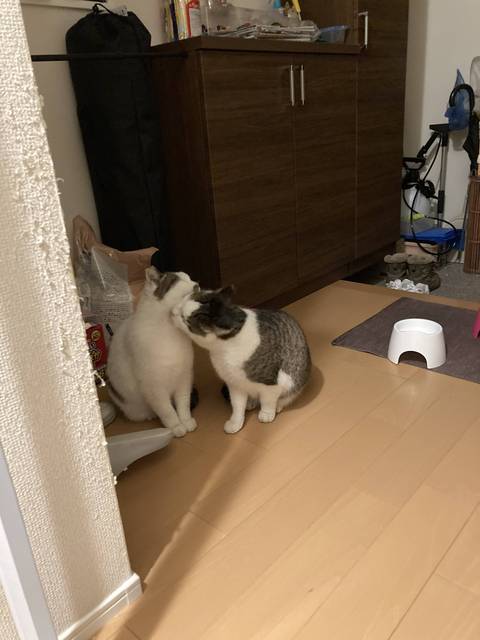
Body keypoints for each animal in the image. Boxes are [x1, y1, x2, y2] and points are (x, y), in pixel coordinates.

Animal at [107, 267, 198, 437]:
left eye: (189, 277)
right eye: (176, 281)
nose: (196, 284)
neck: (170, 330)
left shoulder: (184, 377)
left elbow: (183, 404)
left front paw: (186, 421)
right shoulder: (154, 387)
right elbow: (167, 411)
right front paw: (176, 427)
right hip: (135, 407)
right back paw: (152, 415)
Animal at [173, 286, 311, 434]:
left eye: (185, 320)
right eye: (185, 300)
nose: (174, 311)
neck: (223, 351)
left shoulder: (270, 382)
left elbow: (268, 400)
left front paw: (267, 413)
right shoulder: (234, 383)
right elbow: (237, 406)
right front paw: (235, 423)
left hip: (294, 380)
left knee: (288, 396)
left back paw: (277, 406)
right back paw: (251, 403)